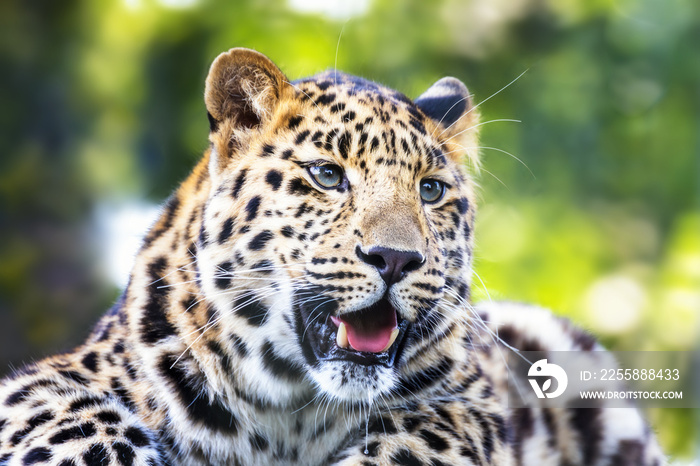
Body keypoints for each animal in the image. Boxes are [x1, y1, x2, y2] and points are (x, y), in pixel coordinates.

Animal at [0, 48, 668, 466]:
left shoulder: (470, 408)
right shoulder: (47, 383)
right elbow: (76, 414)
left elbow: (418, 442)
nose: (395, 259)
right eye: (327, 175)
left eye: (430, 190)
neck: (290, 412)